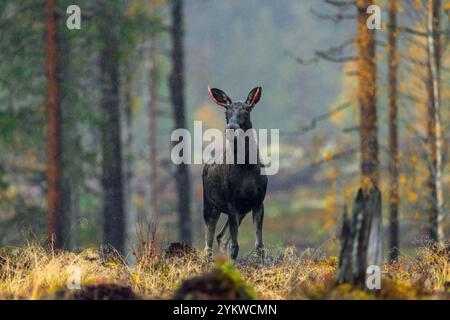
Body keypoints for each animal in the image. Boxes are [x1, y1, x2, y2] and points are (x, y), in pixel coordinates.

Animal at [201, 86, 268, 262]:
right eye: (226, 112)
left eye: (246, 111)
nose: (231, 128)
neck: (247, 168)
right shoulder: (232, 201)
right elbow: (235, 245)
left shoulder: (259, 201)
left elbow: (259, 245)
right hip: (209, 203)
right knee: (208, 242)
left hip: (242, 211)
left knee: (221, 237)